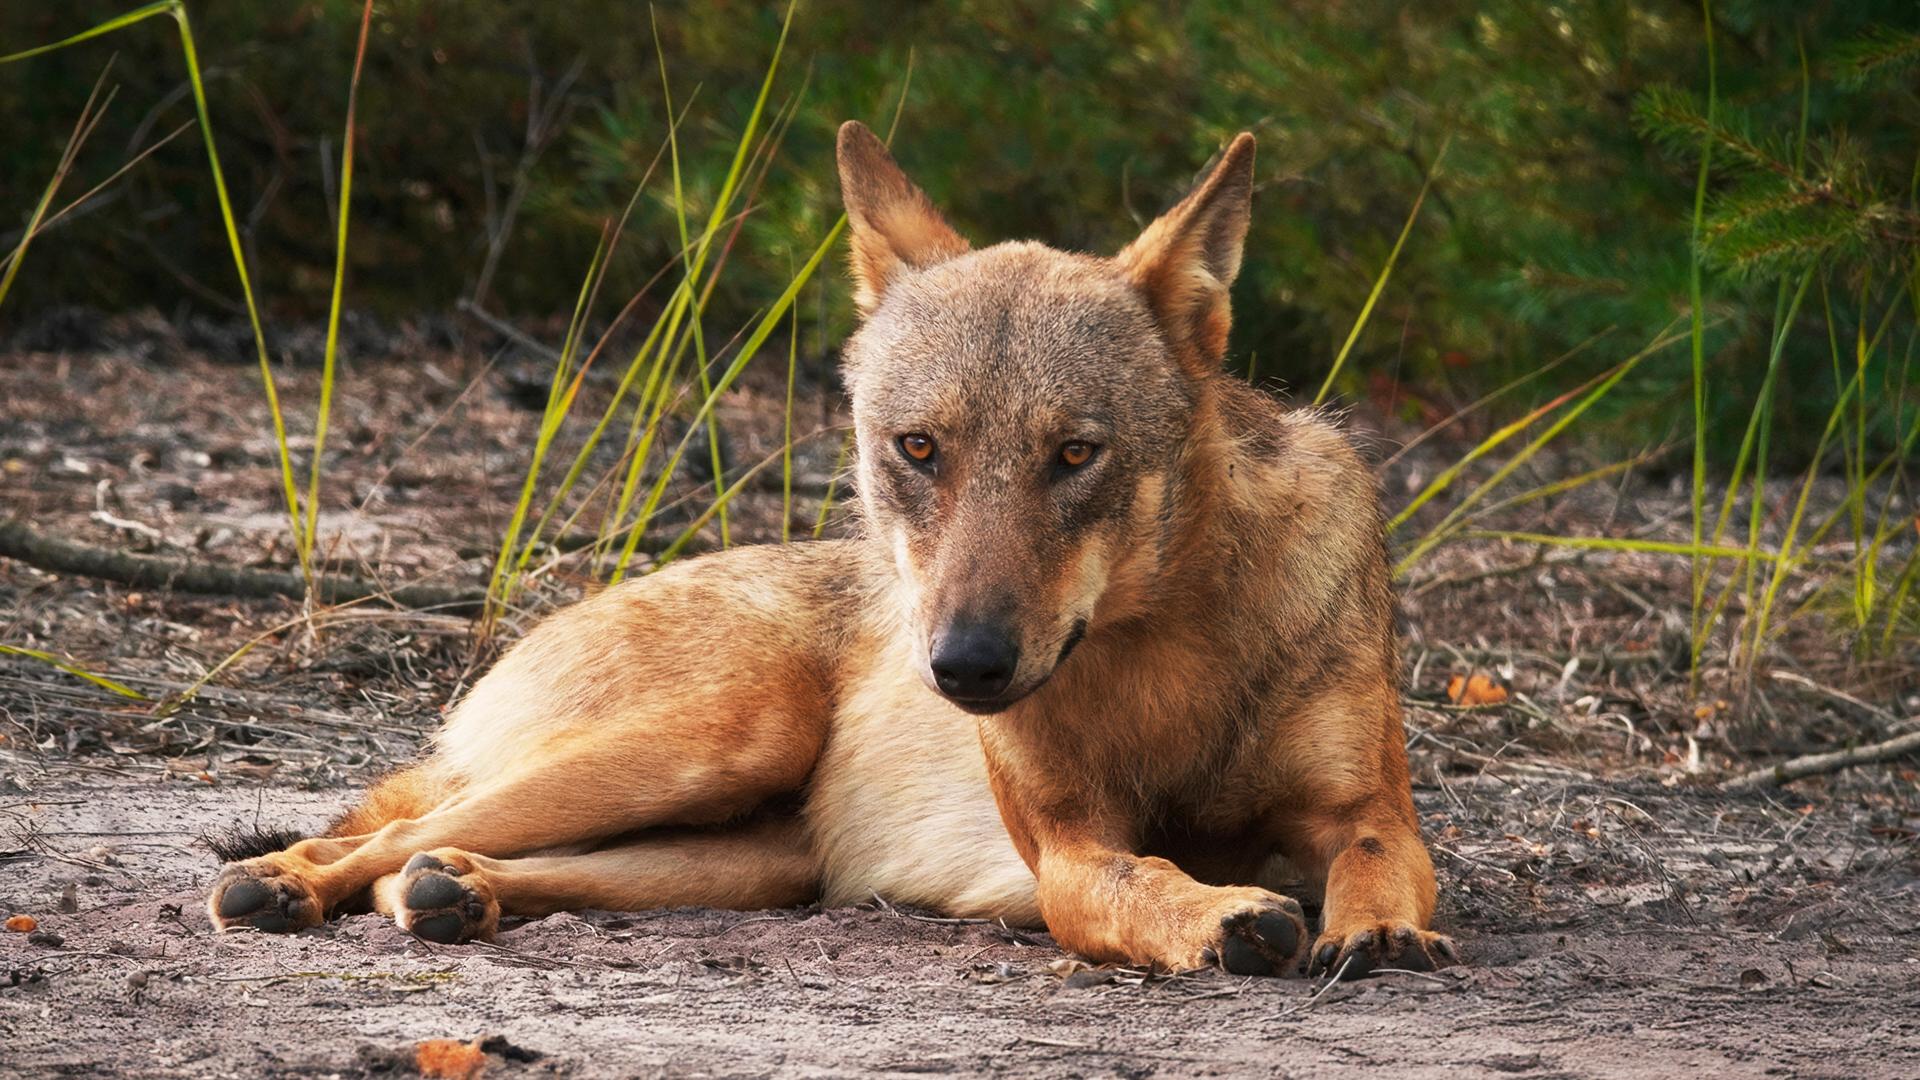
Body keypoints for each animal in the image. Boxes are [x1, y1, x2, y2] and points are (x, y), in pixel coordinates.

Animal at [206, 121, 1455, 979]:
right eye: (920, 448)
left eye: (1073, 454)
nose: (962, 667)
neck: (1166, 654)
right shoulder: (1066, 851)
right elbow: (1138, 881)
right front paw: (1223, 915)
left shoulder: (1366, 810)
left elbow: (1382, 858)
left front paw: (1377, 931)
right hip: (716, 740)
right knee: (380, 837)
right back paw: (277, 885)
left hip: (757, 856)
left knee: (424, 863)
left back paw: (452, 896)